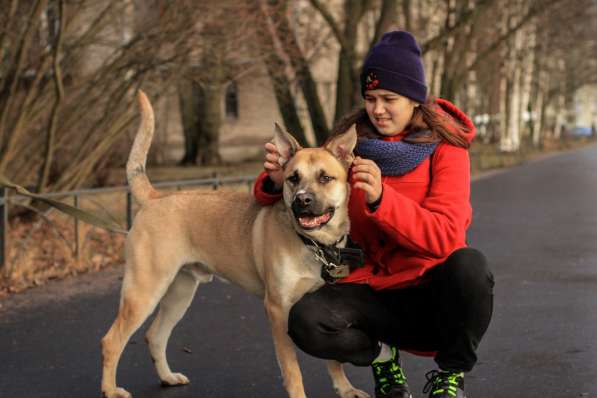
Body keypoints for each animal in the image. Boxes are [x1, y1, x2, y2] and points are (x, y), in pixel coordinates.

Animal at [100, 91, 366, 398]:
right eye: (292, 178)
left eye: (325, 177)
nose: (302, 200)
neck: (312, 244)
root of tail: (156, 197)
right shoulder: (277, 309)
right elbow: (292, 369)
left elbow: (334, 358)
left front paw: (345, 389)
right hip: (144, 291)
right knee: (111, 341)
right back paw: (110, 390)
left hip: (180, 293)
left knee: (154, 336)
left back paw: (167, 377)